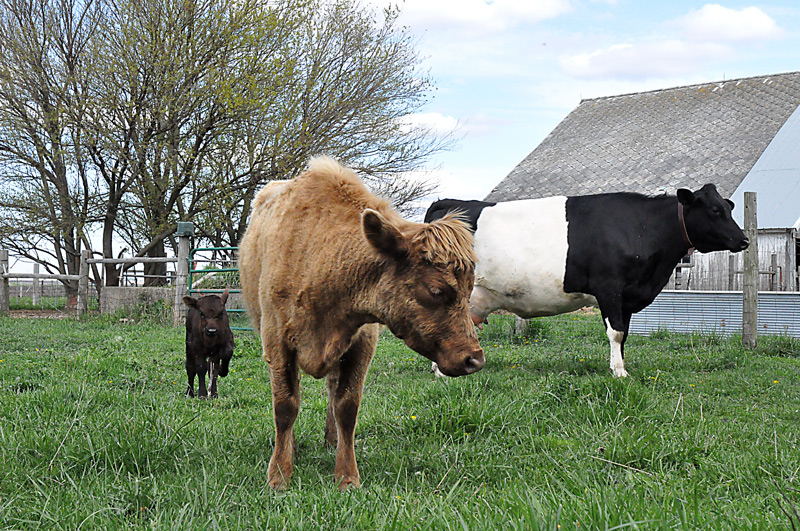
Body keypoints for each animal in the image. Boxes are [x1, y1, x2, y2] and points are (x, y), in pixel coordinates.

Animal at [238, 156, 484, 490]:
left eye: (471, 288)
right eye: (436, 290)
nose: (474, 359)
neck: (320, 256)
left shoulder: (361, 343)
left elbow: (346, 406)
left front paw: (347, 476)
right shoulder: (276, 341)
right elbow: (285, 406)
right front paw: (279, 474)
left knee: (332, 390)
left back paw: (331, 440)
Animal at [425, 184, 749, 378]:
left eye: (728, 208)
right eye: (715, 210)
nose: (744, 240)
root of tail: (447, 204)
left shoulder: (627, 297)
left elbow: (624, 336)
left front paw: (618, 365)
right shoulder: (610, 289)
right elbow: (616, 333)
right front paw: (620, 373)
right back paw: (442, 371)